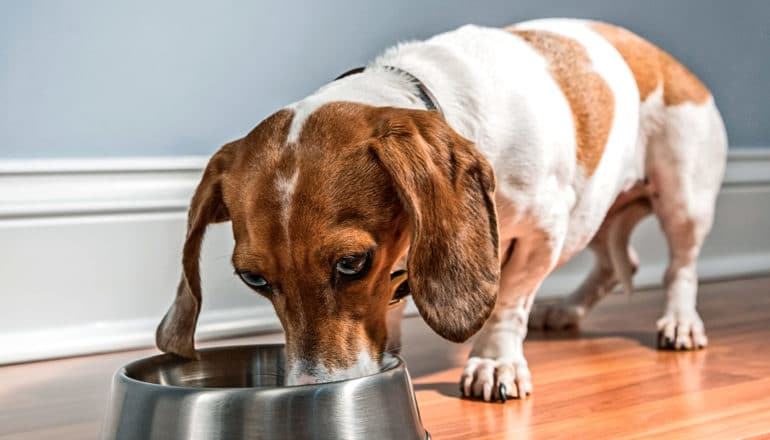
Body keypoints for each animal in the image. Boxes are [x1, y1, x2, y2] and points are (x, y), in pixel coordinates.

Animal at [158, 18, 728, 402]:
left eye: (351, 263)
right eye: (253, 279)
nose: (314, 387)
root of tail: (662, 56)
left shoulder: (543, 233)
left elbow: (508, 303)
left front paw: (494, 364)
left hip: (682, 200)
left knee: (679, 267)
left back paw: (680, 323)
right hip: (597, 217)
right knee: (617, 264)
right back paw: (568, 310)